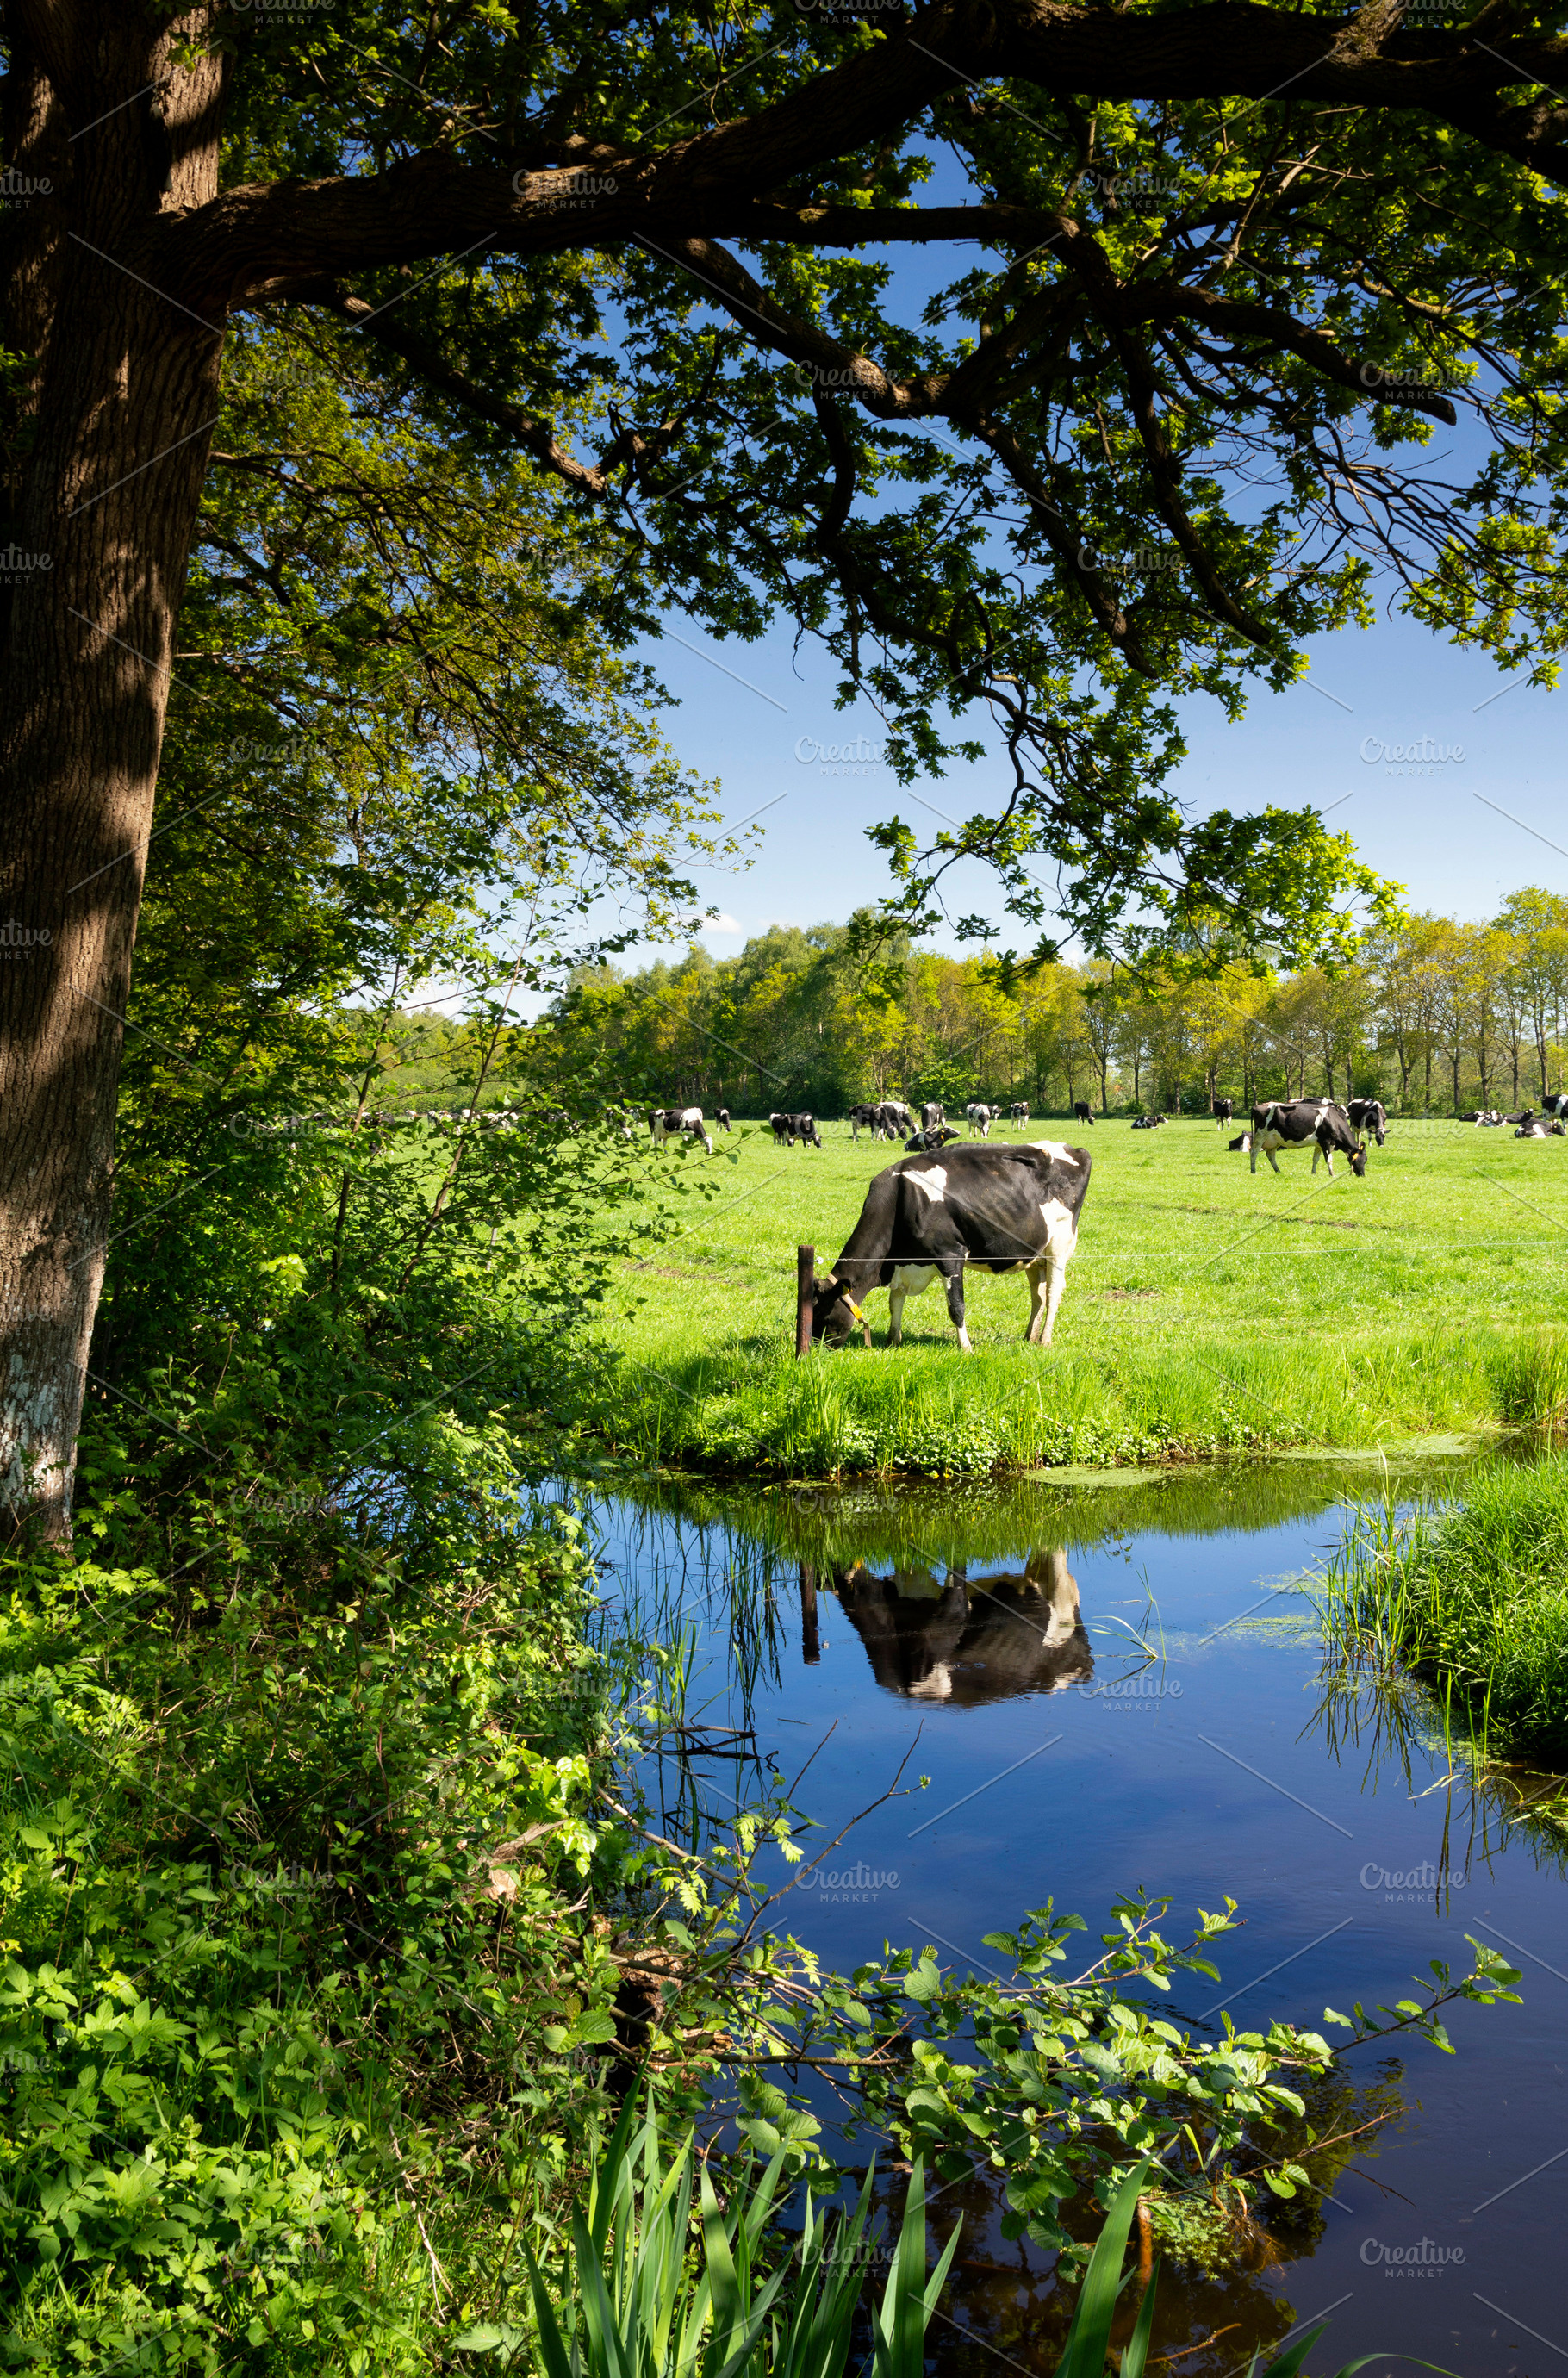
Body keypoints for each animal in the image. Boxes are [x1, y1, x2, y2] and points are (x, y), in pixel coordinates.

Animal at [810, 1138, 1092, 1354]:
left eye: (822, 1315)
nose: (814, 1347)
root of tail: (1075, 1149)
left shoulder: (949, 1255)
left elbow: (956, 1307)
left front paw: (965, 1348)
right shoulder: (903, 1263)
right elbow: (895, 1301)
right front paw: (893, 1340)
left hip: (1059, 1247)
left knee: (1053, 1294)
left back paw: (1044, 1340)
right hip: (1034, 1253)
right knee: (1038, 1295)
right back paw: (1029, 1336)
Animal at [1248, 1098, 1366, 1178]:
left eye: (1365, 1160)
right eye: (1361, 1160)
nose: (1362, 1175)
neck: (1334, 1121)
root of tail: (1256, 1106)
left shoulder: (1319, 1144)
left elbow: (1315, 1159)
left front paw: (1313, 1172)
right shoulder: (1326, 1142)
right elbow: (1329, 1160)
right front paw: (1332, 1174)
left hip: (1275, 1139)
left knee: (1270, 1155)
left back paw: (1278, 1171)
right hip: (1261, 1135)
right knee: (1254, 1152)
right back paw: (1253, 1171)